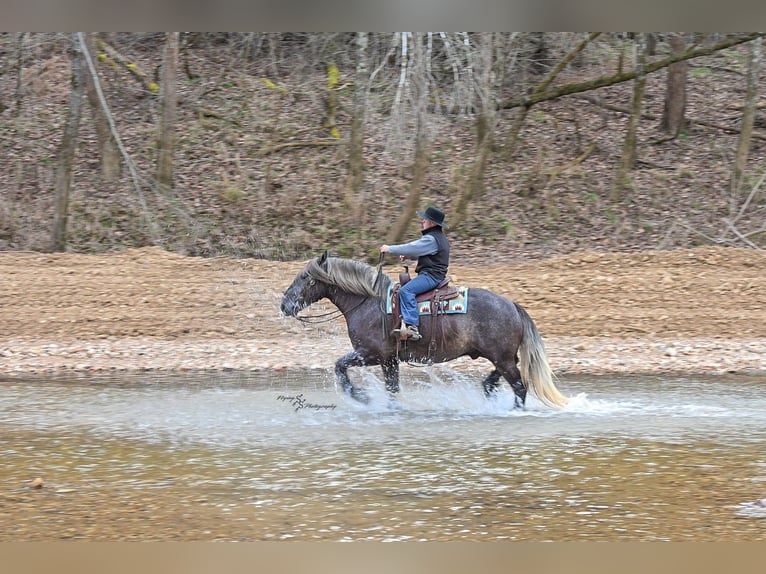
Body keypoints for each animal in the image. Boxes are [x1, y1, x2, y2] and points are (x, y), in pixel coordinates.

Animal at [280, 251, 568, 409]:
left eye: (305, 277)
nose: (285, 305)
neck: (368, 302)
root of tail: (512, 305)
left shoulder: (370, 354)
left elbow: (339, 367)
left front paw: (361, 396)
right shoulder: (390, 360)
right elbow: (393, 389)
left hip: (502, 357)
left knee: (520, 387)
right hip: (501, 356)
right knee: (506, 376)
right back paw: (488, 388)